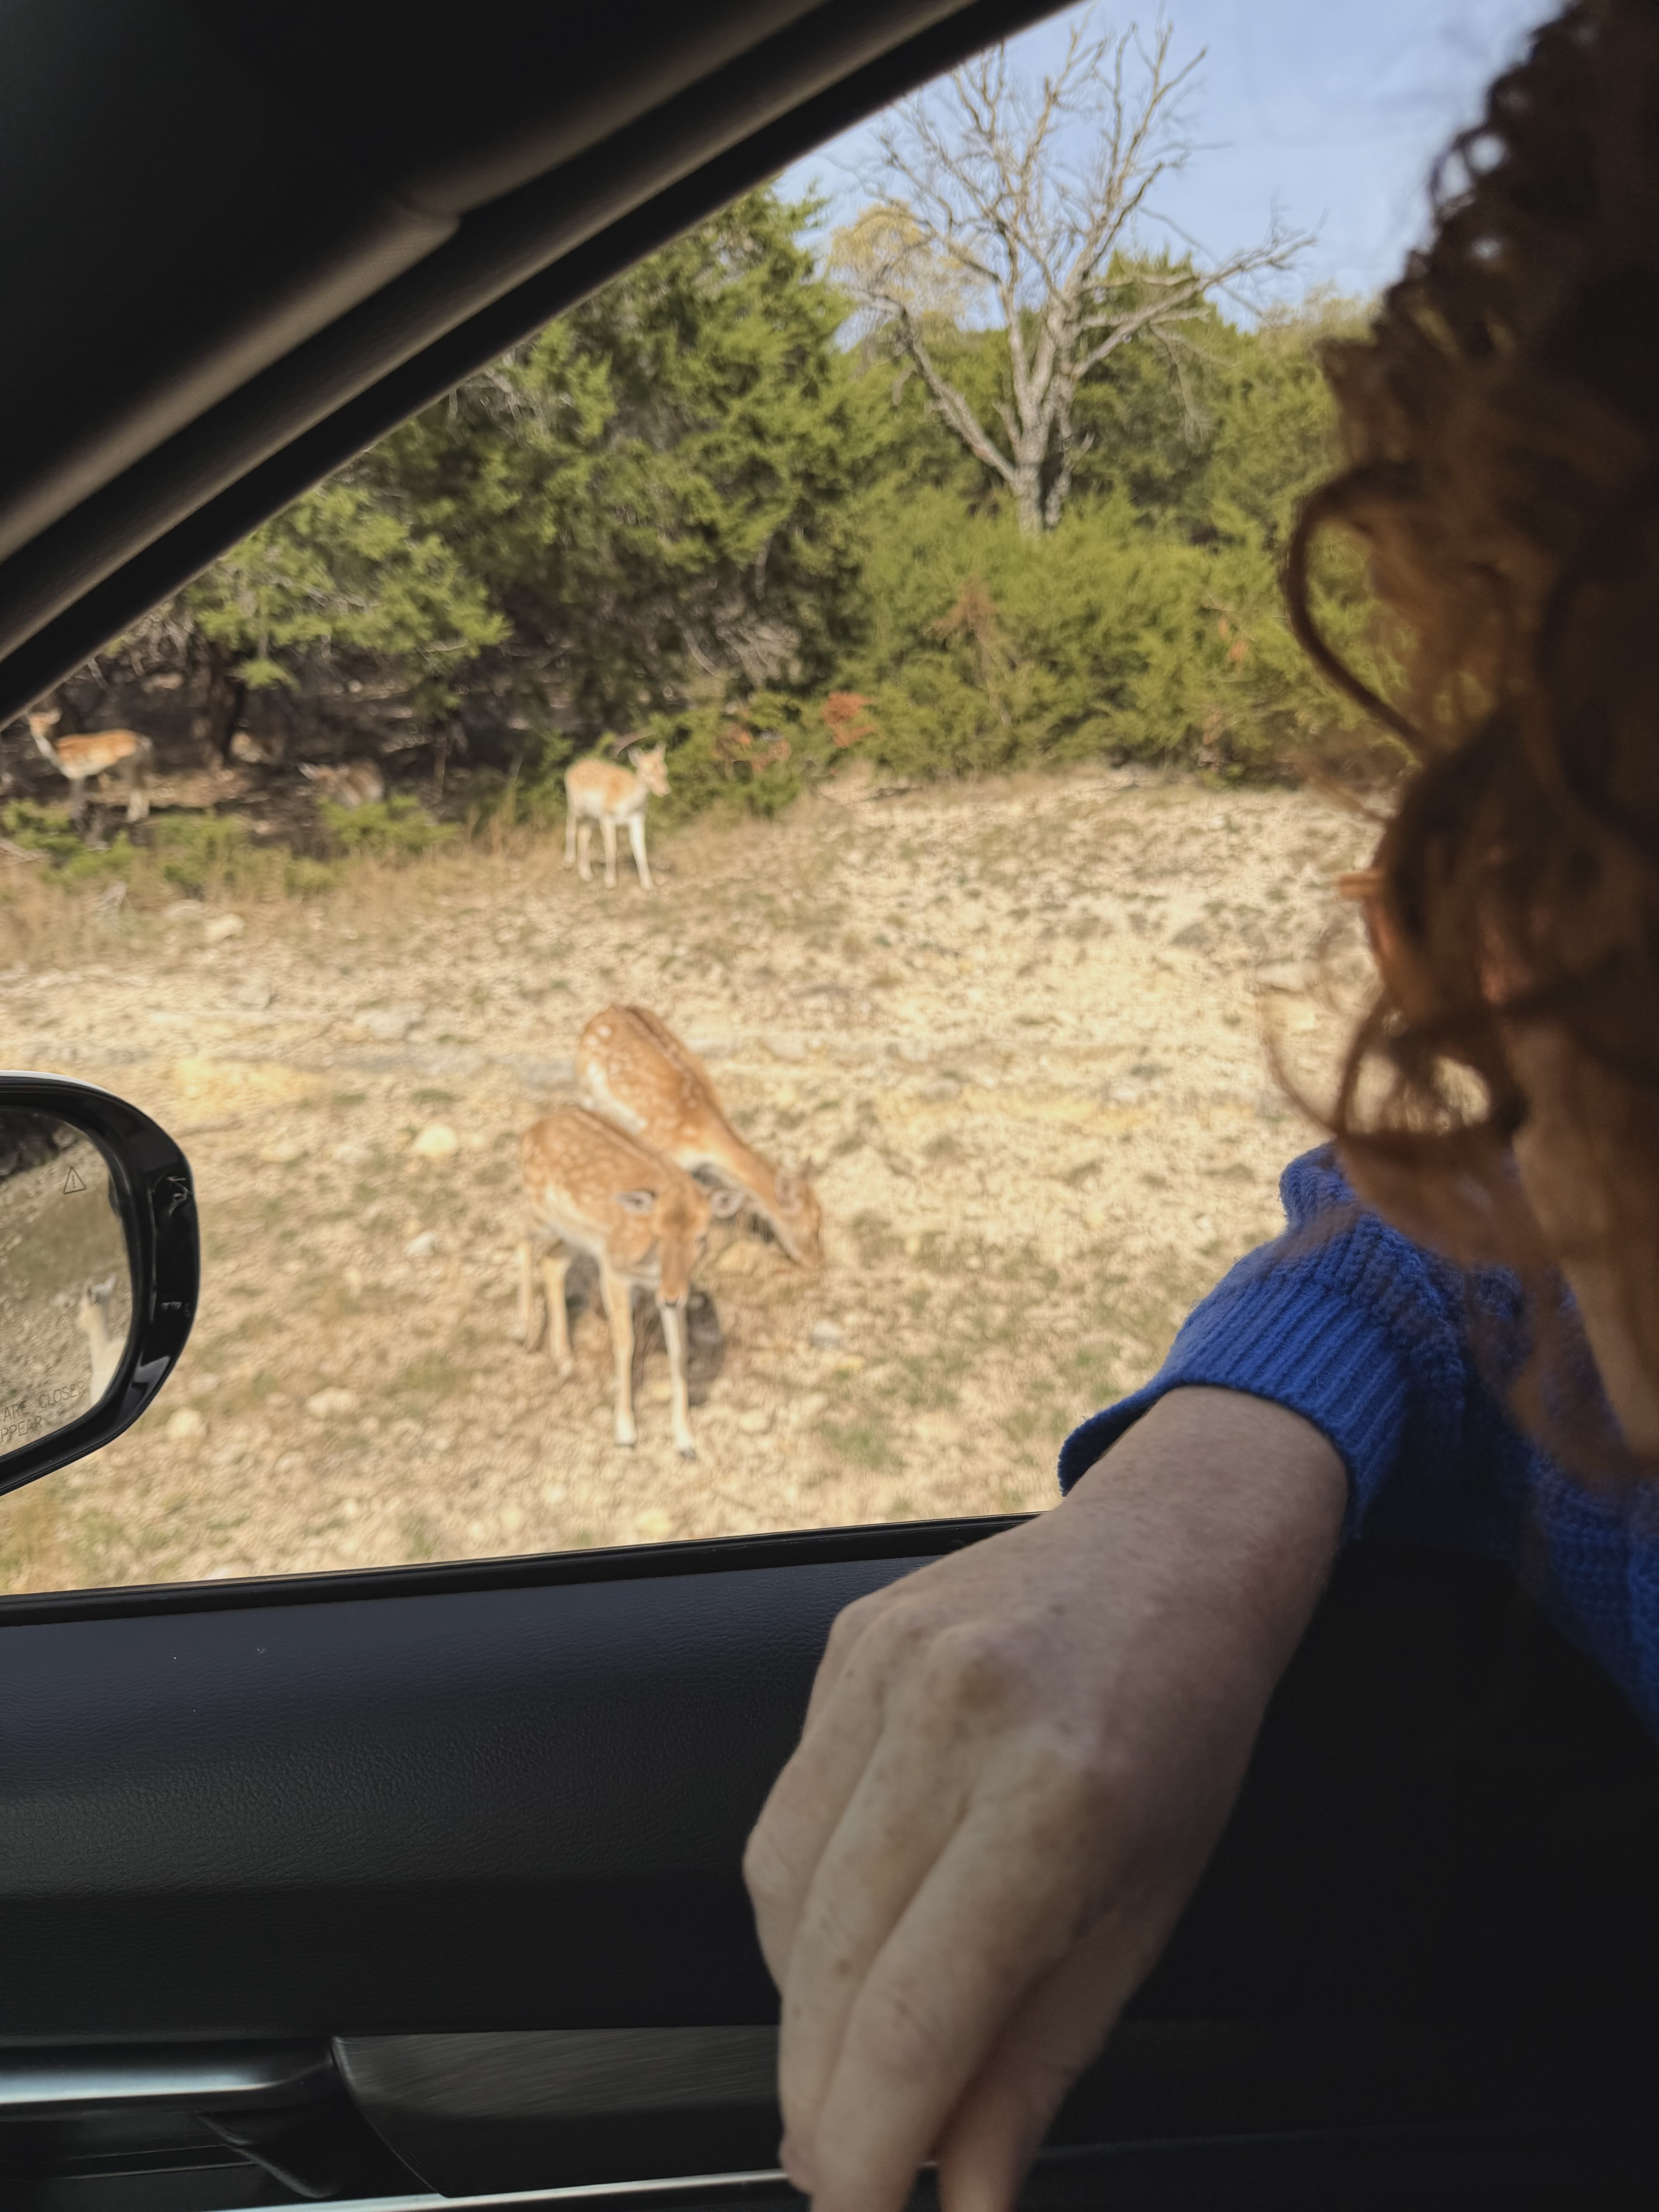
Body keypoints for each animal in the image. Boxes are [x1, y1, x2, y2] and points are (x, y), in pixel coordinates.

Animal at [26, 709, 153, 827]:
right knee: (142, 785)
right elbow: (79, 795)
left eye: (45, 723)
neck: (59, 754)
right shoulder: (80, 775)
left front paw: (75, 818)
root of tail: (144, 741)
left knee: (134, 787)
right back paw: (143, 816)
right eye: (32, 724)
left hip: (127, 765)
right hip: (139, 765)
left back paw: (131, 818)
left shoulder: (77, 773)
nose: (36, 733)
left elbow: (75, 795)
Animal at [517, 1106, 741, 1457]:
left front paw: (686, 1441)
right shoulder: (615, 1272)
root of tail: (530, 1132)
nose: (671, 1297)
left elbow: (679, 1351)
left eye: (702, 1237)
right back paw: (524, 1332)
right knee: (520, 1235)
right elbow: (625, 1344)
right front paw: (625, 1433)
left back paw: (565, 1361)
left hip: (577, 1237)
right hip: (541, 1211)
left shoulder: (669, 1289)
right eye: (657, 1234)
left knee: (552, 1262)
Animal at [564, 743, 669, 891]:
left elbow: (640, 849)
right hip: (575, 805)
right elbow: (611, 848)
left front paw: (648, 885)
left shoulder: (637, 820)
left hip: (593, 817)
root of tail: (571, 770)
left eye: (665, 770)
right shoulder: (608, 818)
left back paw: (586, 874)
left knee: (583, 833)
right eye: (648, 773)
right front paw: (610, 882)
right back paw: (568, 863)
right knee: (571, 826)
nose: (665, 790)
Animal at [578, 1006, 824, 1268]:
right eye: (814, 1225)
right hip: (586, 1087)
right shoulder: (655, 1144)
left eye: (821, 1219)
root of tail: (604, 1012)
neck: (701, 1142)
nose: (818, 1262)